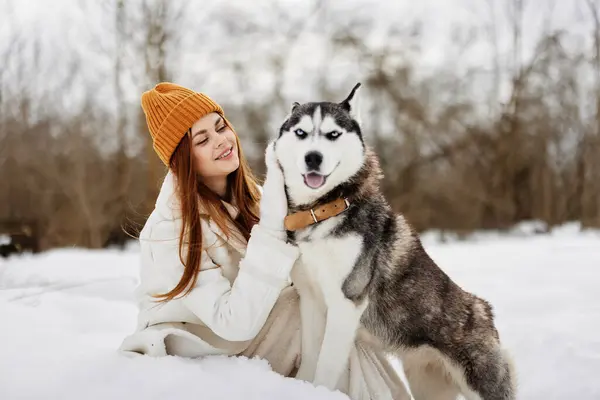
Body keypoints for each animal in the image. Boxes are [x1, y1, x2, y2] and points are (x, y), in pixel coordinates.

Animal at [268, 83, 516, 398]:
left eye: (333, 134)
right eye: (300, 132)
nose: (313, 157)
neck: (322, 211)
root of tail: (484, 310)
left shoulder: (346, 303)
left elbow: (326, 368)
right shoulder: (311, 300)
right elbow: (312, 361)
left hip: (481, 381)